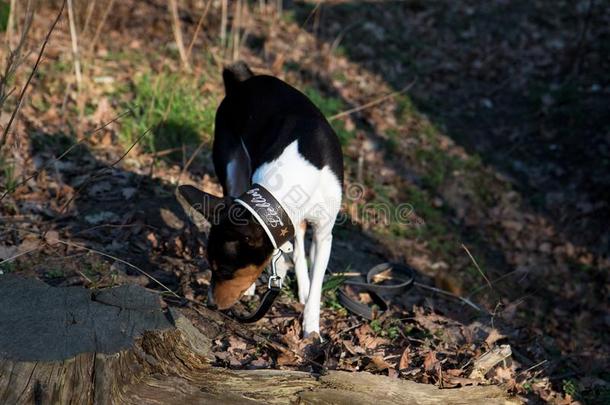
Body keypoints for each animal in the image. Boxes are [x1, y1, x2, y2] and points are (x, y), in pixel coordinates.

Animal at [178, 63, 344, 334]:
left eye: (225, 270)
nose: (210, 304)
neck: (295, 179)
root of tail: (244, 82)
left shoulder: (323, 233)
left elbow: (317, 284)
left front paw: (311, 327)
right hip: (232, 169)